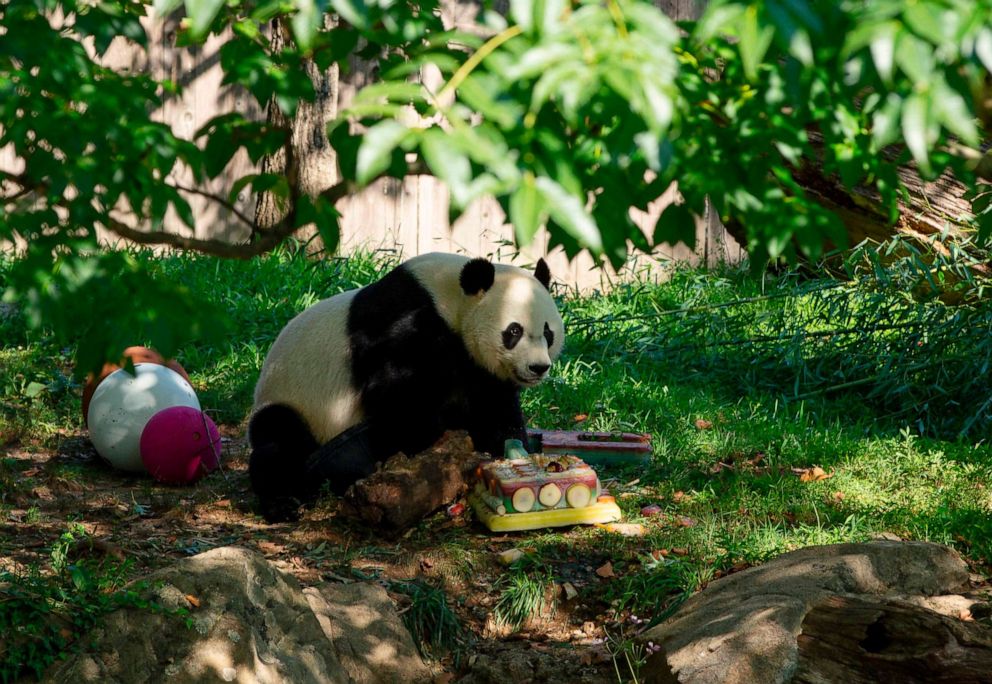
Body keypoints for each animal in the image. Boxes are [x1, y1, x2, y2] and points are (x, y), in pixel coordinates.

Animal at [246, 254, 564, 520]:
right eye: (514, 331)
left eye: (548, 332)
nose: (538, 367)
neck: (450, 302)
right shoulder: (401, 326)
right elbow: (400, 402)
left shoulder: (478, 368)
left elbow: (494, 407)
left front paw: (507, 448)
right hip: (294, 399)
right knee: (279, 441)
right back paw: (282, 502)